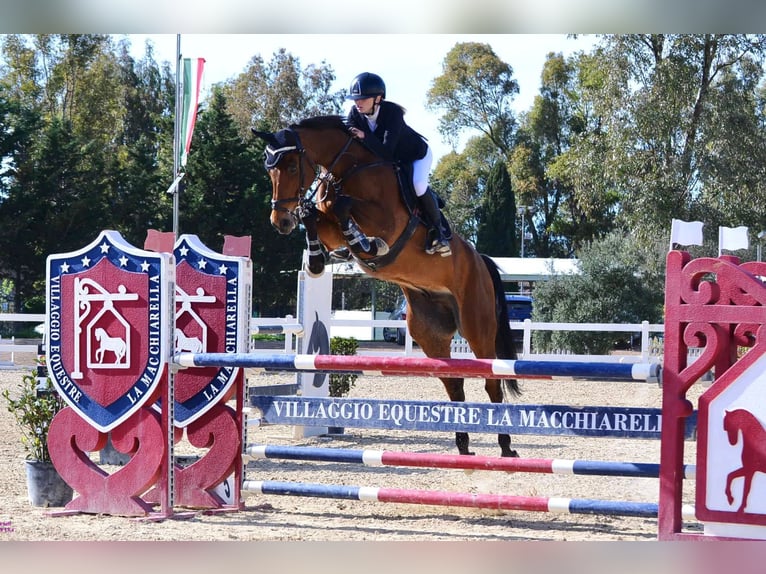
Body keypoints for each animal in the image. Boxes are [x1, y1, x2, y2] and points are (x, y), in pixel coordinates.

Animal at [252, 115, 521, 457]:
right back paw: (462, 445)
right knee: (454, 382)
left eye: (290, 166)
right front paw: (316, 259)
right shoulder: (329, 226)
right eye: (268, 168)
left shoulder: (387, 222)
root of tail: (481, 260)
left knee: (491, 380)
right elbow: (318, 216)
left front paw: (365, 242)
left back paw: (505, 446)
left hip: (477, 325)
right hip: (430, 333)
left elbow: (344, 209)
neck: (348, 169)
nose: (280, 222)